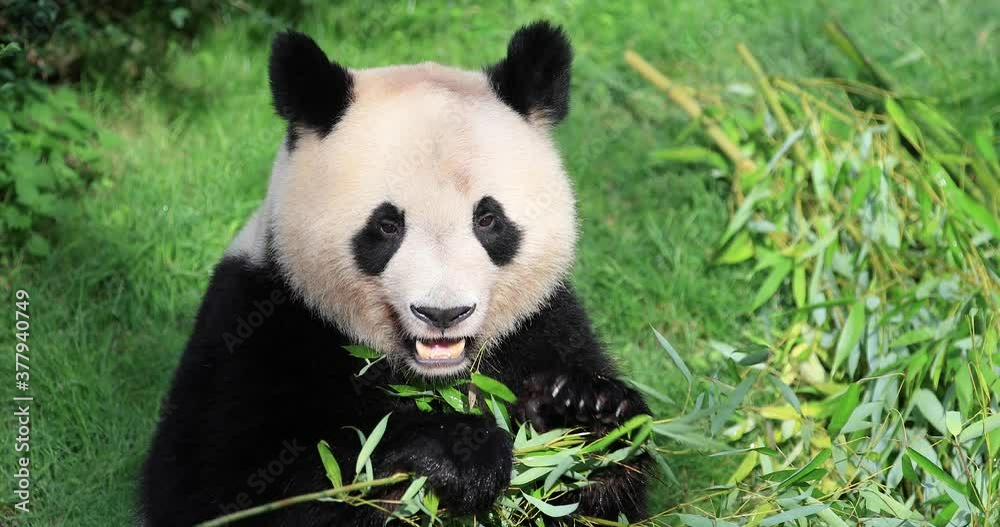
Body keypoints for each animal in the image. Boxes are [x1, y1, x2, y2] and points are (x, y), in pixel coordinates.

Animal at [140, 21, 650, 526]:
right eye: (387, 225)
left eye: (487, 219)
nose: (443, 313)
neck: (434, 377)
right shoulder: (259, 327)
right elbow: (234, 484)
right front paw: (458, 453)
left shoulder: (544, 325)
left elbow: (603, 496)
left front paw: (584, 413)